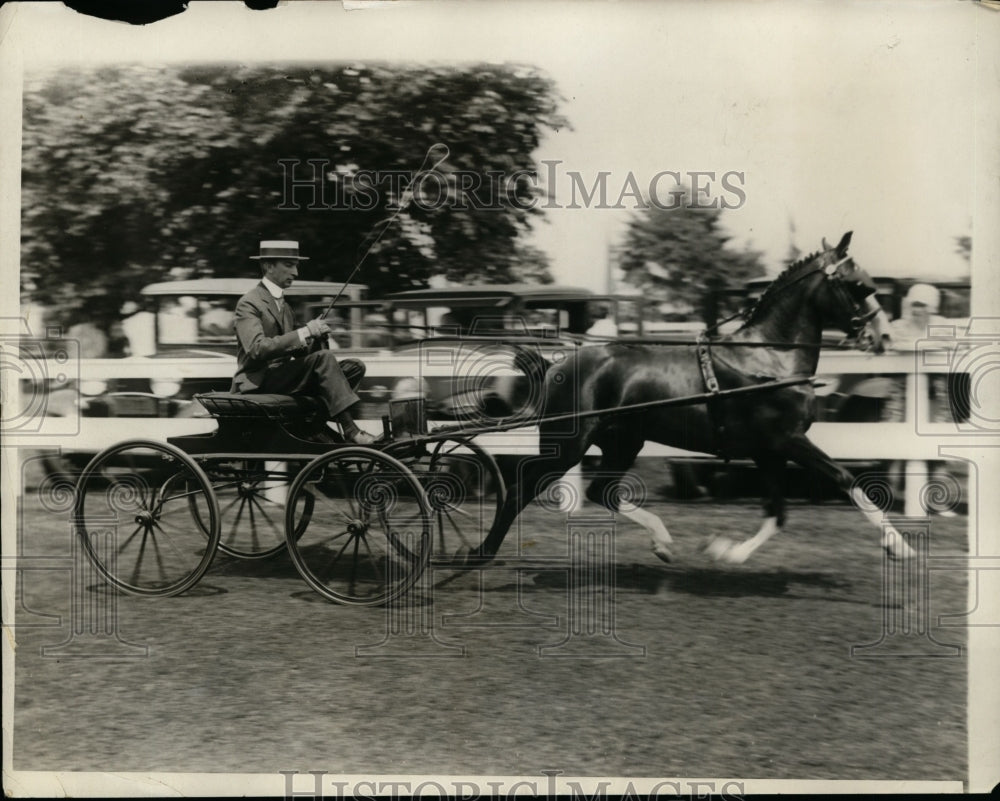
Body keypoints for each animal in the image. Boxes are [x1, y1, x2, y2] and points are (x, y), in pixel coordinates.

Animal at [454, 231, 916, 568]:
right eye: (859, 286)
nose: (884, 336)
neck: (769, 360)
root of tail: (557, 365)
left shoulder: (767, 450)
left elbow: (777, 512)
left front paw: (726, 551)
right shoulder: (788, 441)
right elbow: (847, 479)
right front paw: (900, 546)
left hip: (623, 441)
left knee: (603, 491)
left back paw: (662, 542)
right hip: (570, 444)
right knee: (521, 489)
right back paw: (480, 553)